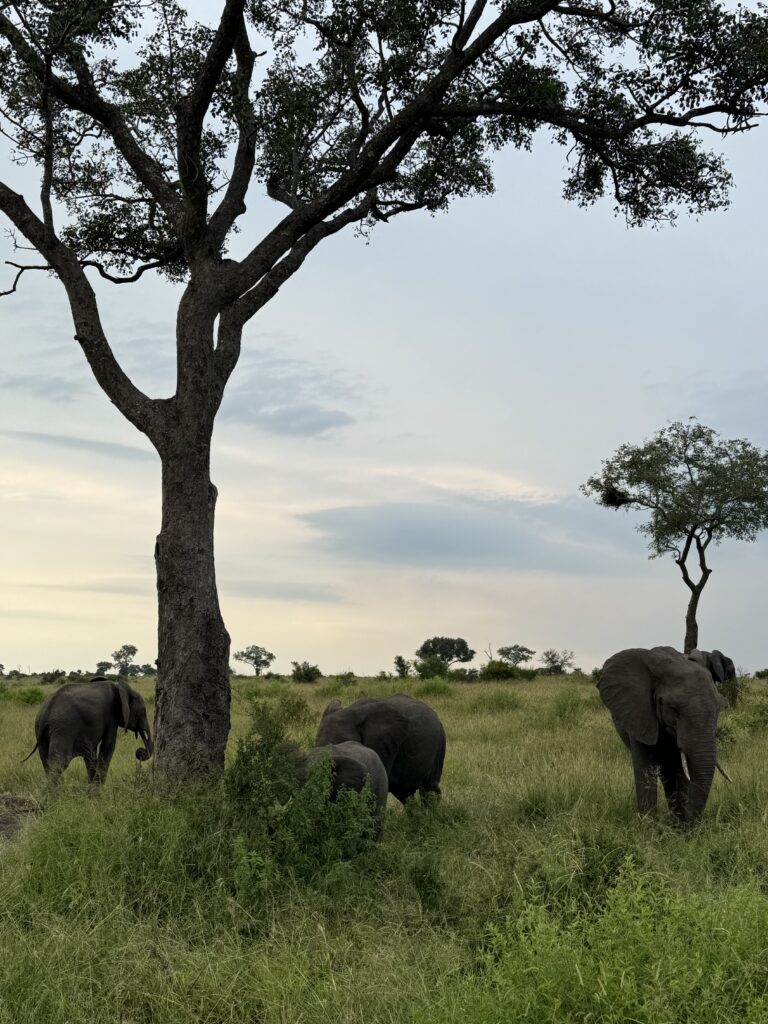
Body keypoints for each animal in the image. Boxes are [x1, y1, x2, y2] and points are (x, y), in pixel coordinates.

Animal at [24, 677, 153, 782]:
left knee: (45, 760)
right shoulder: (111, 717)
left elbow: (91, 754)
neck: (119, 687)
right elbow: (108, 747)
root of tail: (46, 711)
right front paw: (97, 793)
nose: (140, 752)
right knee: (59, 763)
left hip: (41, 729)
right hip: (63, 728)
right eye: (142, 711)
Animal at [598, 646, 728, 826]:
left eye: (719, 708)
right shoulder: (640, 712)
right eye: (673, 709)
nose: (689, 828)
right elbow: (645, 769)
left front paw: (677, 827)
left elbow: (681, 772)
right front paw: (648, 827)